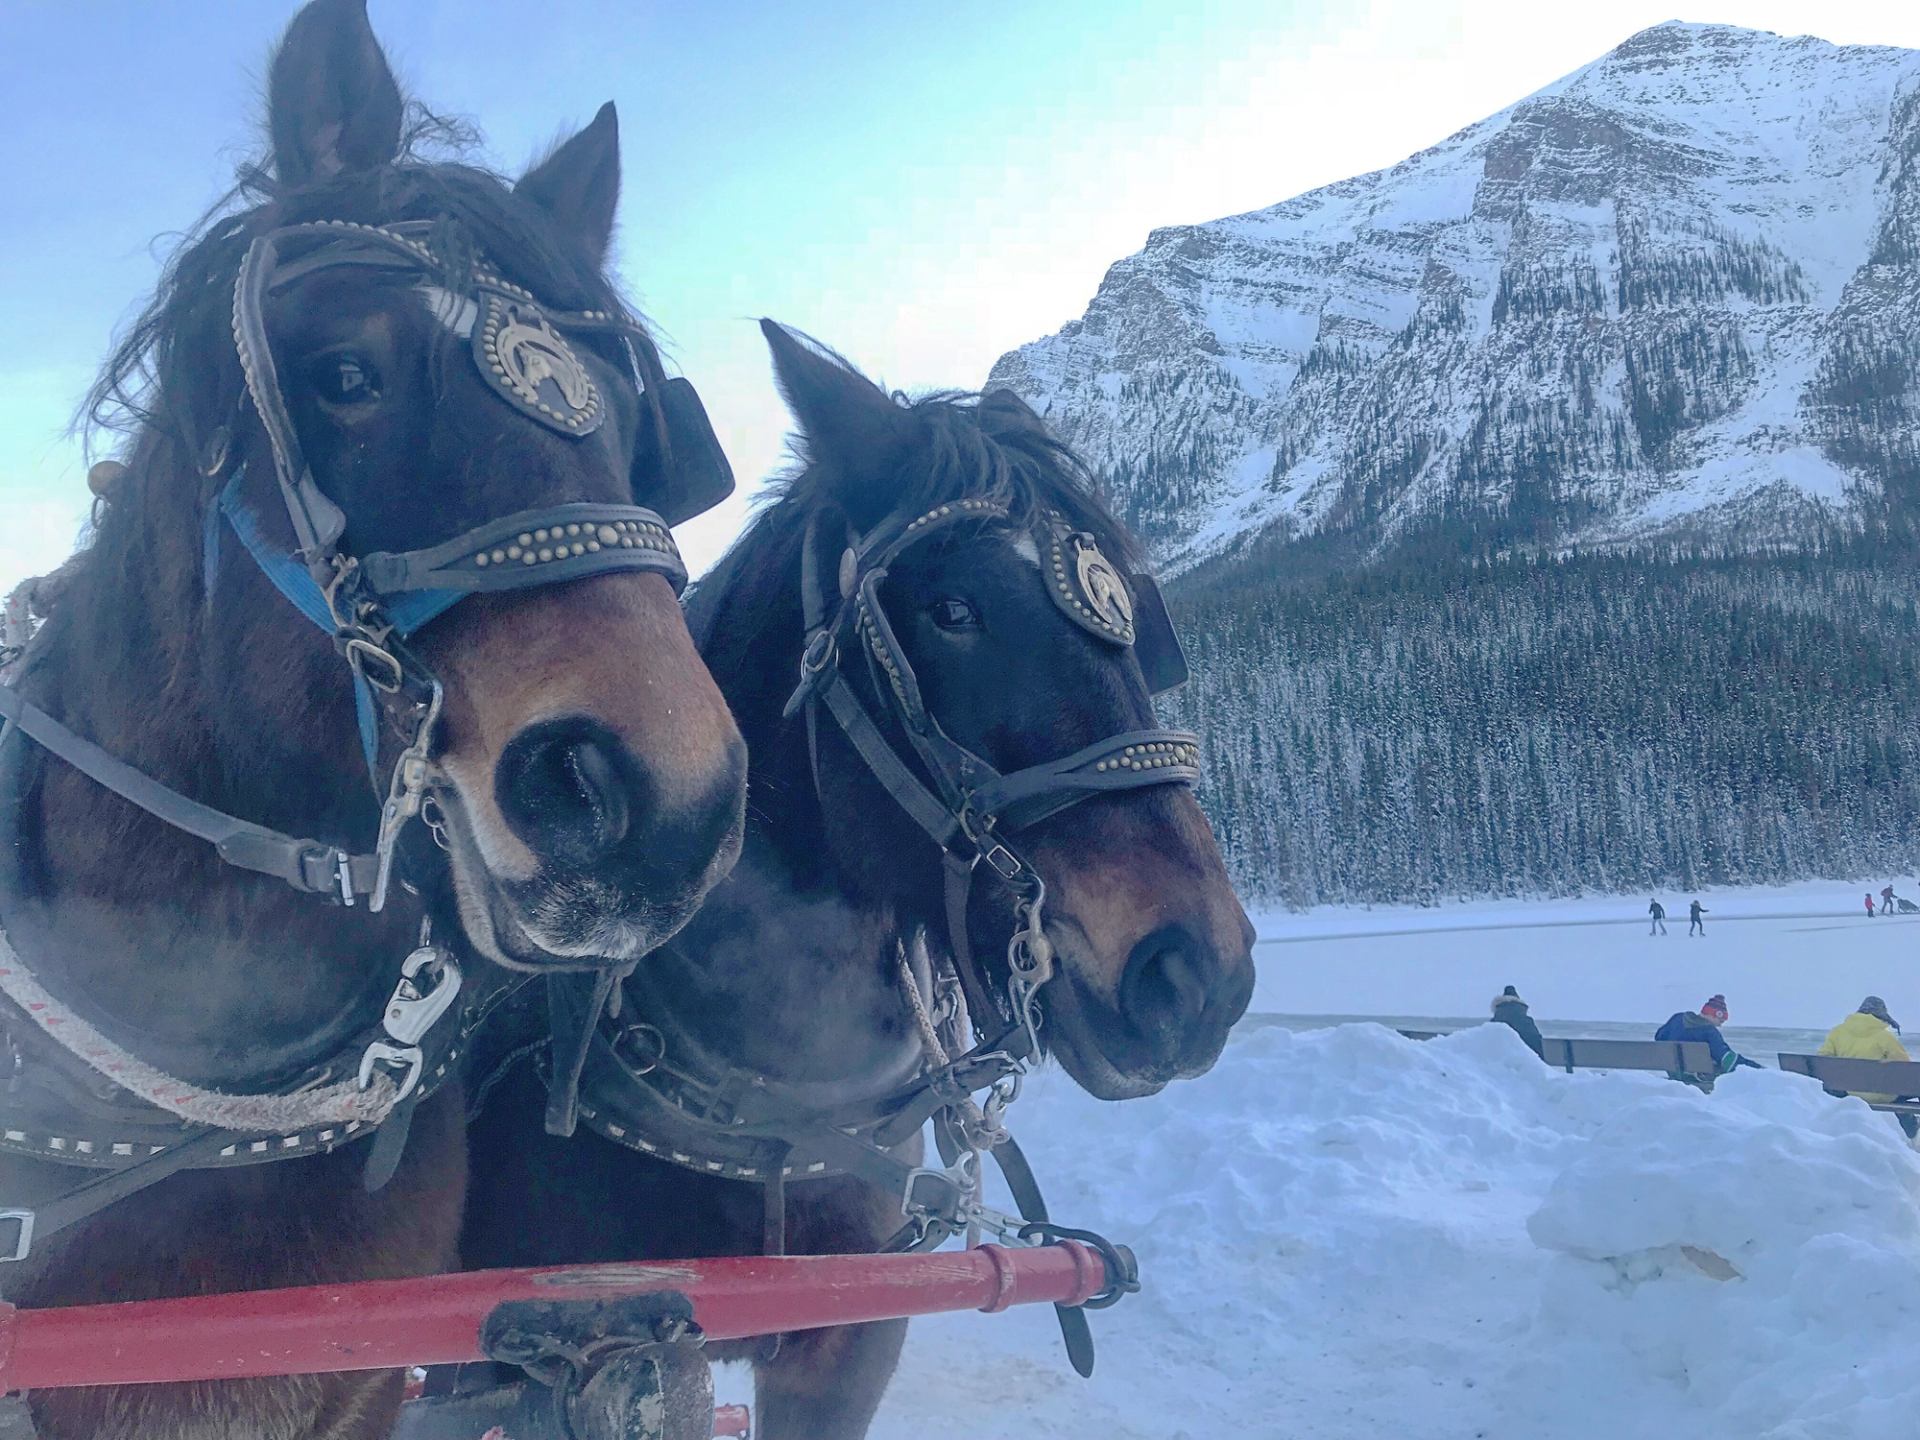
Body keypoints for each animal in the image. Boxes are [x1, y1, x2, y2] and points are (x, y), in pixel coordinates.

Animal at [461, 321, 1255, 1439]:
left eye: (1139, 625)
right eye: (952, 608)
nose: (1197, 972)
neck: (770, 1114)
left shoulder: (849, 1340)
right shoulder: (579, 1354)